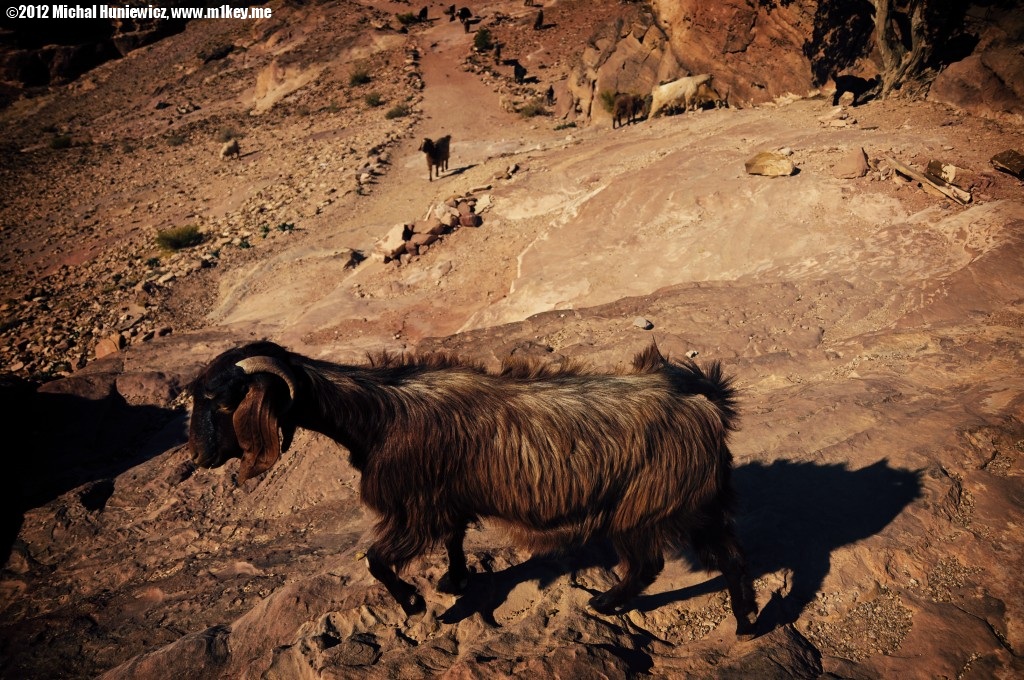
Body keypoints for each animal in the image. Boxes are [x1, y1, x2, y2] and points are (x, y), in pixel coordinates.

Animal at [187, 340, 759, 636]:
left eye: (224, 401)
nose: (197, 456)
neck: (379, 415)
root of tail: (706, 403)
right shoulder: (446, 500)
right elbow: (455, 538)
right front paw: (453, 581)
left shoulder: (415, 508)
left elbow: (376, 559)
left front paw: (415, 604)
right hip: (701, 502)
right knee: (731, 557)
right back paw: (746, 623)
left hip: (640, 506)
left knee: (648, 563)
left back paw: (605, 603)